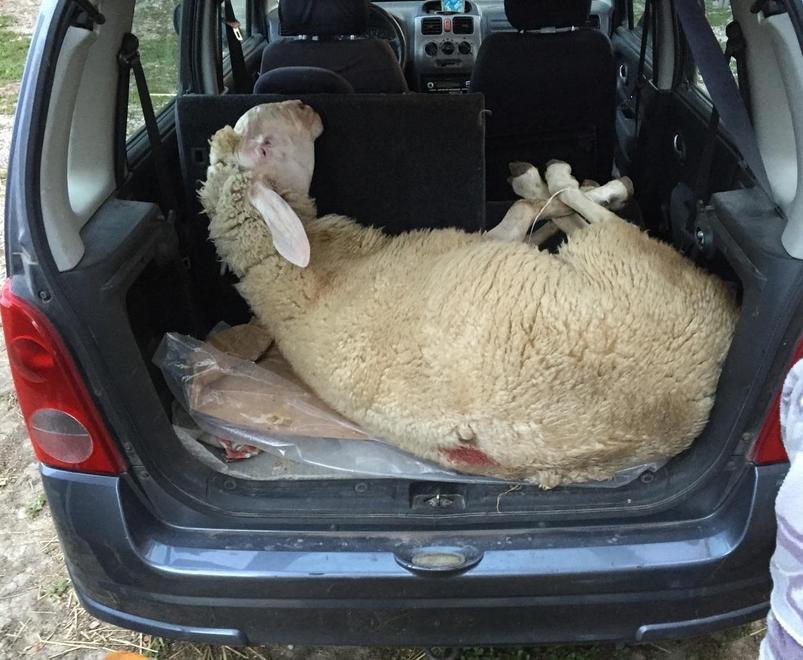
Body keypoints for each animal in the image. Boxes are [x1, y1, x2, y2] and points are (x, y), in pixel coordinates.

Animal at [199, 100, 739, 488]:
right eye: (265, 143)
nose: (306, 106)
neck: (301, 276)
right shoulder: (484, 241)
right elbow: (525, 212)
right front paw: (555, 188)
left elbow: (534, 223)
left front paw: (554, 209)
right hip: (627, 261)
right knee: (586, 213)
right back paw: (566, 178)